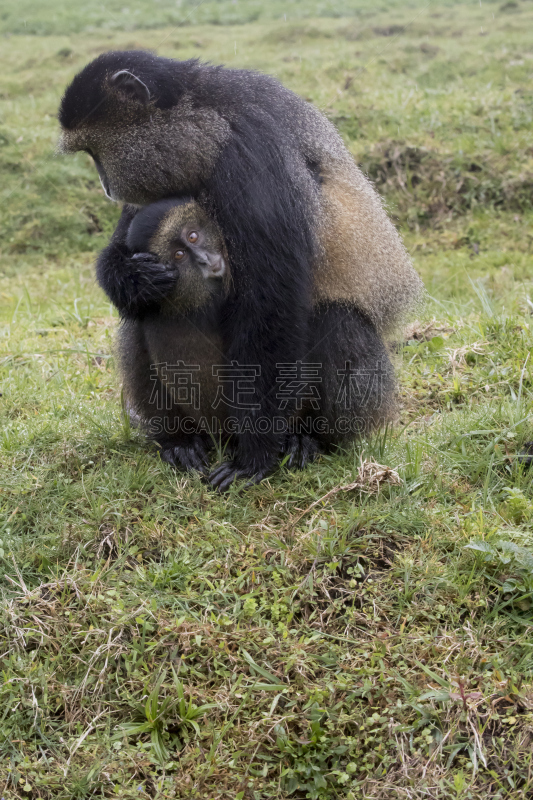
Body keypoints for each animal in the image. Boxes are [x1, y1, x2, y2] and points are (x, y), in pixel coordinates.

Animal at [59, 50, 424, 490]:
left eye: (96, 152)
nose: (106, 186)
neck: (208, 116)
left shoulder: (251, 158)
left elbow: (271, 303)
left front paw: (255, 455)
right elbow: (133, 239)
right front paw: (130, 278)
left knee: (338, 321)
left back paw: (310, 440)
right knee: (140, 319)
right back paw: (181, 440)